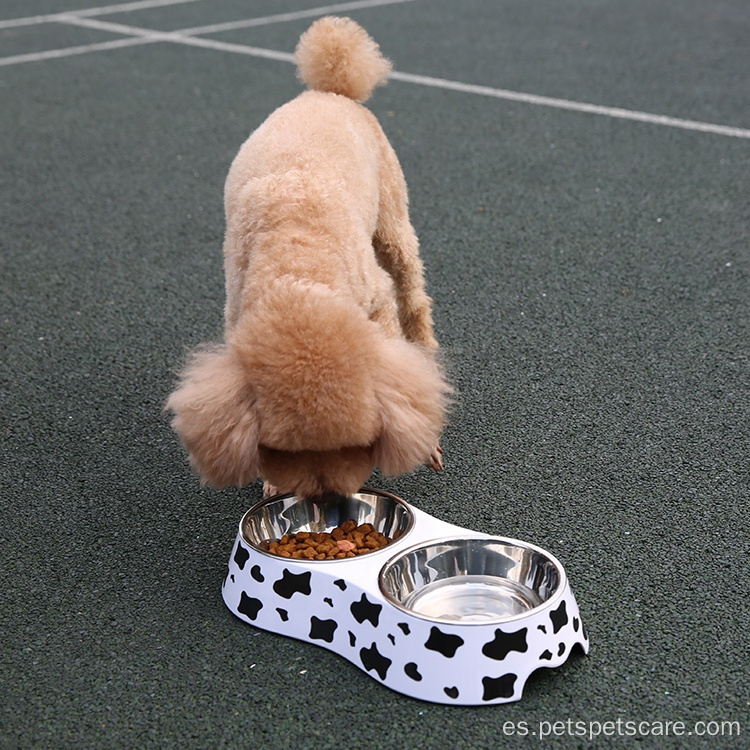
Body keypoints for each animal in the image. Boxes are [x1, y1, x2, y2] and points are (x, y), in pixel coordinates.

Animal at [169, 16, 452, 500]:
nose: (326, 500)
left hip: (392, 221)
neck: (297, 266)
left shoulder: (376, 298)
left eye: (361, 445)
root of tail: (329, 91)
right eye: (281, 451)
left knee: (414, 298)